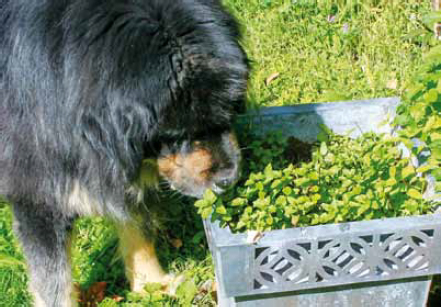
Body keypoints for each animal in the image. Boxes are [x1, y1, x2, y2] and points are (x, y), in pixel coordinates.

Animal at [0, 0, 248, 306]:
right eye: (176, 134)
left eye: (228, 111)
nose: (230, 178)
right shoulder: (39, 196)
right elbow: (53, 280)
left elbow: (137, 224)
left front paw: (152, 285)